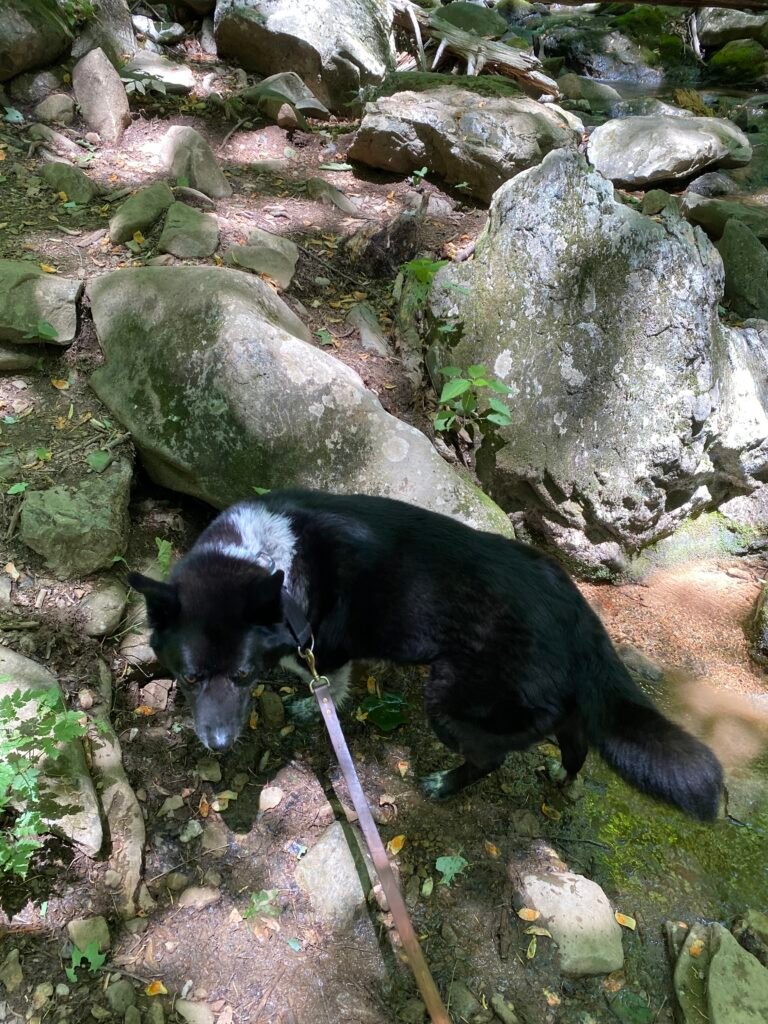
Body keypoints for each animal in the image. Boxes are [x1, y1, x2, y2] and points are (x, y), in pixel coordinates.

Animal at [129, 491, 724, 819]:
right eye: (188, 679)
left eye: (244, 674)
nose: (218, 745)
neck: (261, 560)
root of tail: (577, 611)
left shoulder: (327, 649)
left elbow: (329, 685)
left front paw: (314, 707)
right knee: (572, 733)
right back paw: (562, 775)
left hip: (452, 700)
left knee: (494, 755)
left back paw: (446, 785)